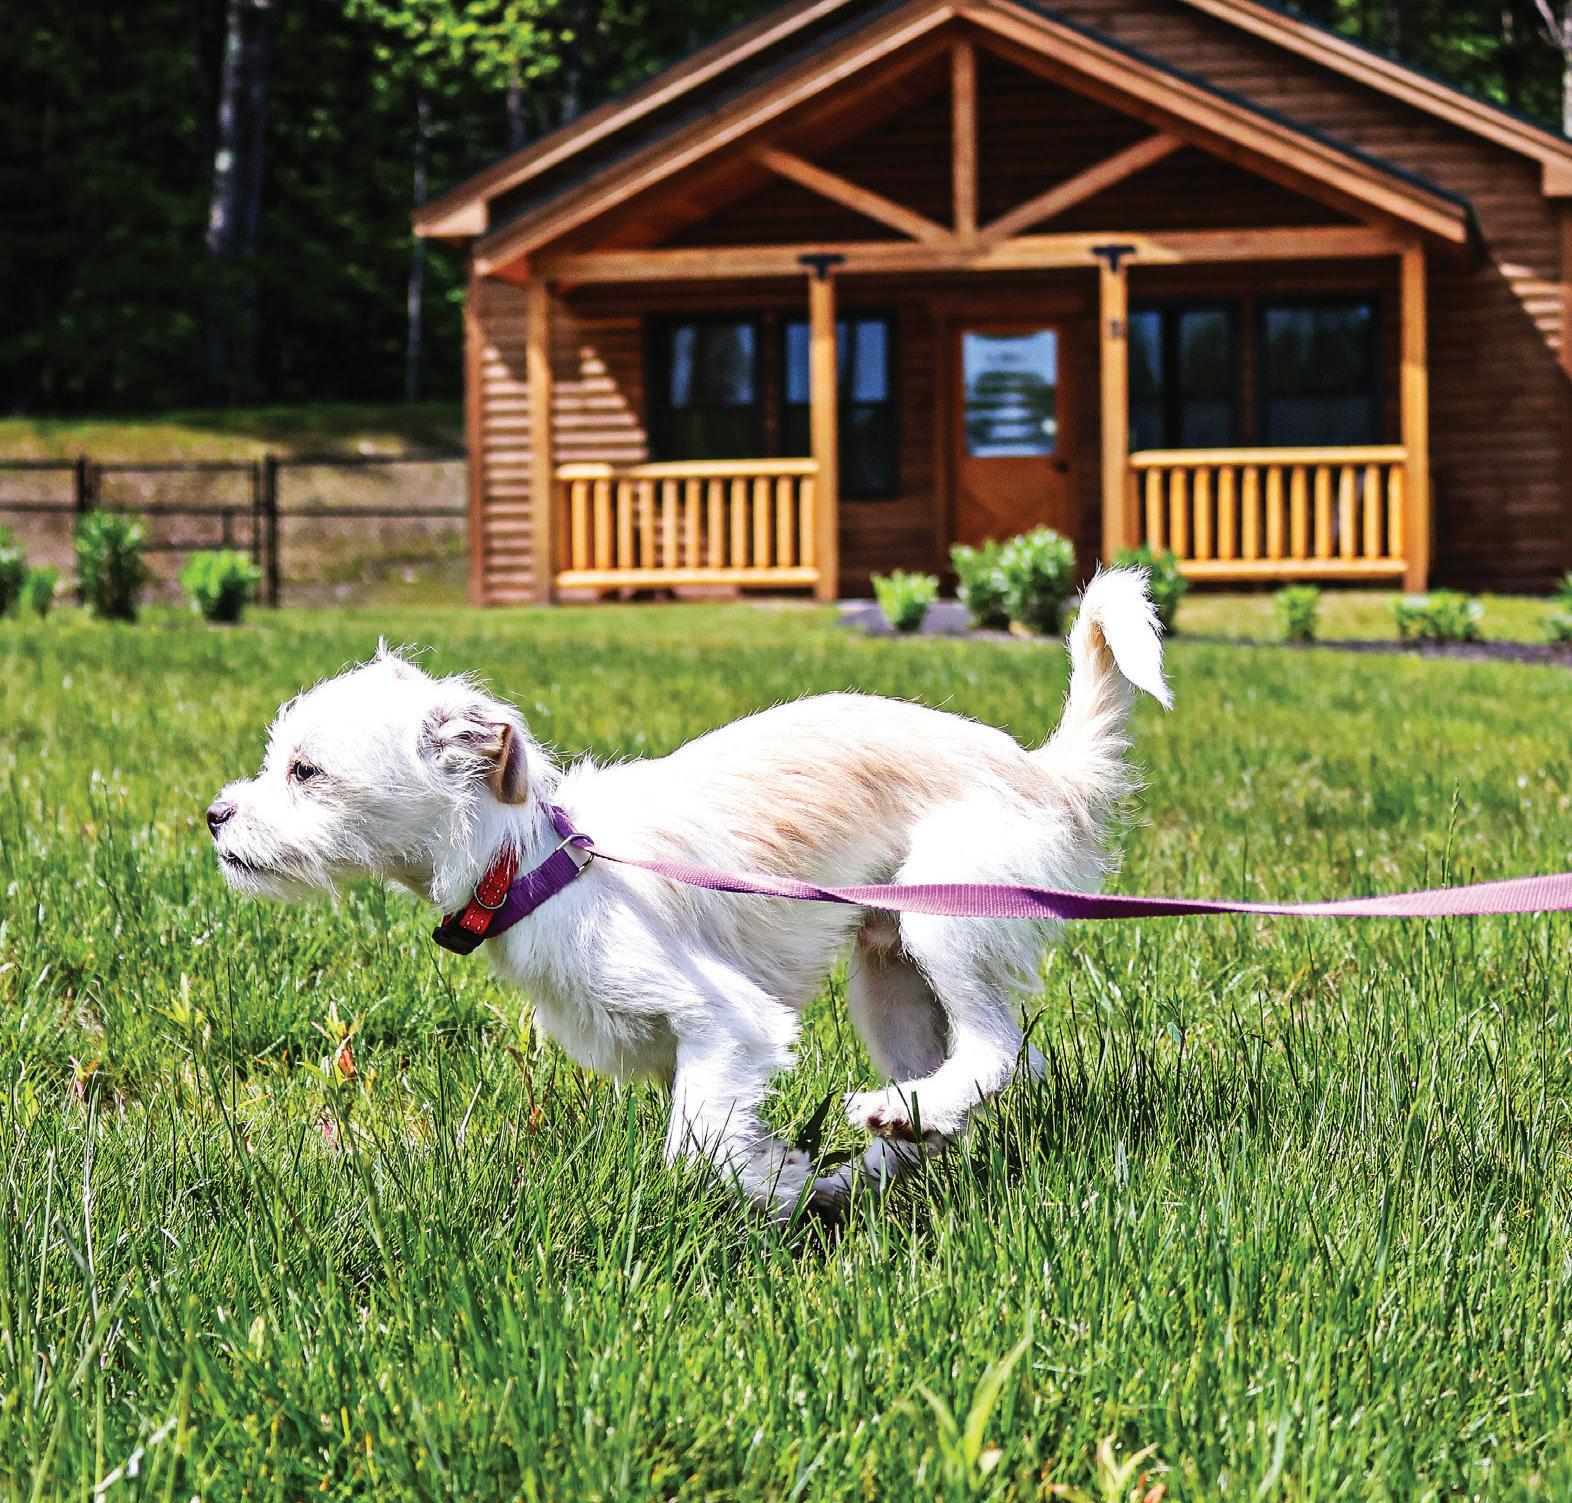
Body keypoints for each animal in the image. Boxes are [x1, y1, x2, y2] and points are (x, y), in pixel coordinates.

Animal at [208, 568, 1169, 1217]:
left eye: (304, 771)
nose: (214, 815)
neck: (539, 861)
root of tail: (1048, 773)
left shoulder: (727, 1021)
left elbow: (696, 1152)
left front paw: (773, 1190)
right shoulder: (694, 1051)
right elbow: (715, 1125)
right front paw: (792, 1180)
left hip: (945, 921)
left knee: (1000, 1050)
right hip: (888, 976)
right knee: (984, 1077)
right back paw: (877, 1152)